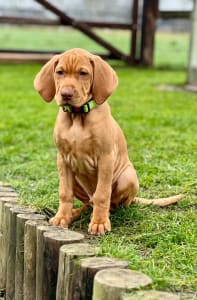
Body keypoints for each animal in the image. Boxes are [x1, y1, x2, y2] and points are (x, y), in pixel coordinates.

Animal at [33, 48, 183, 234]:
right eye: (60, 72)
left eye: (83, 73)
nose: (66, 94)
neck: (78, 116)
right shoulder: (63, 159)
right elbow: (65, 193)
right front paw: (62, 217)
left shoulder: (105, 158)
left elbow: (102, 194)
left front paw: (99, 222)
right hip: (77, 181)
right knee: (89, 203)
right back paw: (75, 213)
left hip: (127, 176)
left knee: (114, 203)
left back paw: (108, 214)